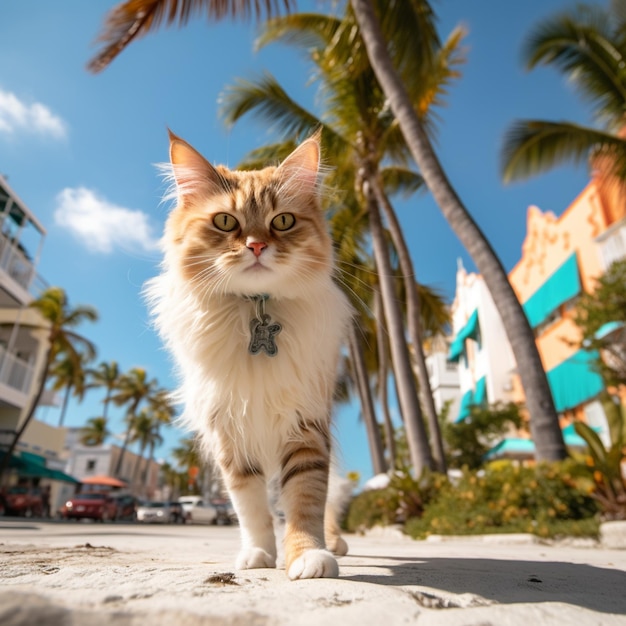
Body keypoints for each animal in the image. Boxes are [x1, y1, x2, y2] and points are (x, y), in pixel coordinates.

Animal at [145, 129, 352, 576]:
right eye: (226, 221)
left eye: (283, 221)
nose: (257, 246)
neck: (255, 309)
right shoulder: (229, 431)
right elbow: (250, 506)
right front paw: (259, 555)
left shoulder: (306, 424)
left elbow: (305, 500)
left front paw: (307, 556)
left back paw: (336, 543)